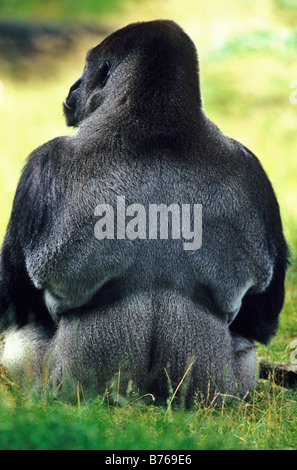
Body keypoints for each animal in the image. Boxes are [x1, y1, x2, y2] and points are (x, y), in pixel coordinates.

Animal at [0, 21, 286, 404]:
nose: (73, 86)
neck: (154, 116)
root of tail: (142, 398)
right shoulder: (255, 170)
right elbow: (261, 311)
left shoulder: (40, 165)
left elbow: (16, 298)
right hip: (215, 390)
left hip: (68, 387)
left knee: (21, 342)